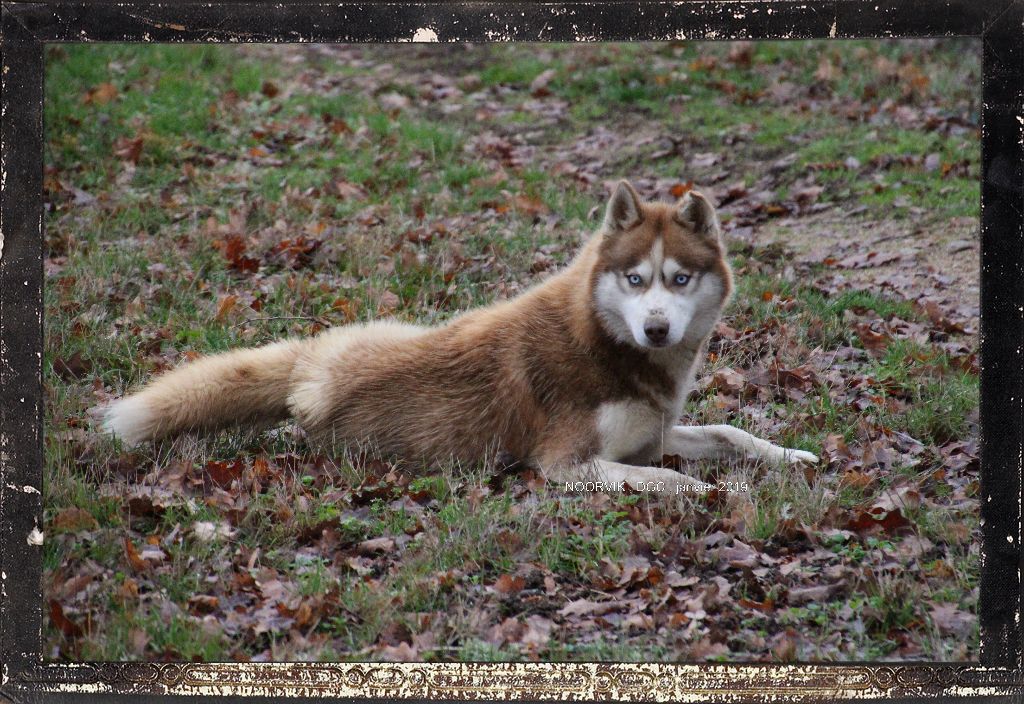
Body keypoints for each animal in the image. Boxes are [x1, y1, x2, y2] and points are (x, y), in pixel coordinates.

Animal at [103, 184, 819, 497]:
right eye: (636, 279)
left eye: (679, 279)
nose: (657, 326)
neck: (610, 343)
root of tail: (313, 368)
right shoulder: (566, 464)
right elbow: (670, 481)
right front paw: (717, 493)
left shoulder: (655, 432)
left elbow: (729, 433)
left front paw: (791, 456)